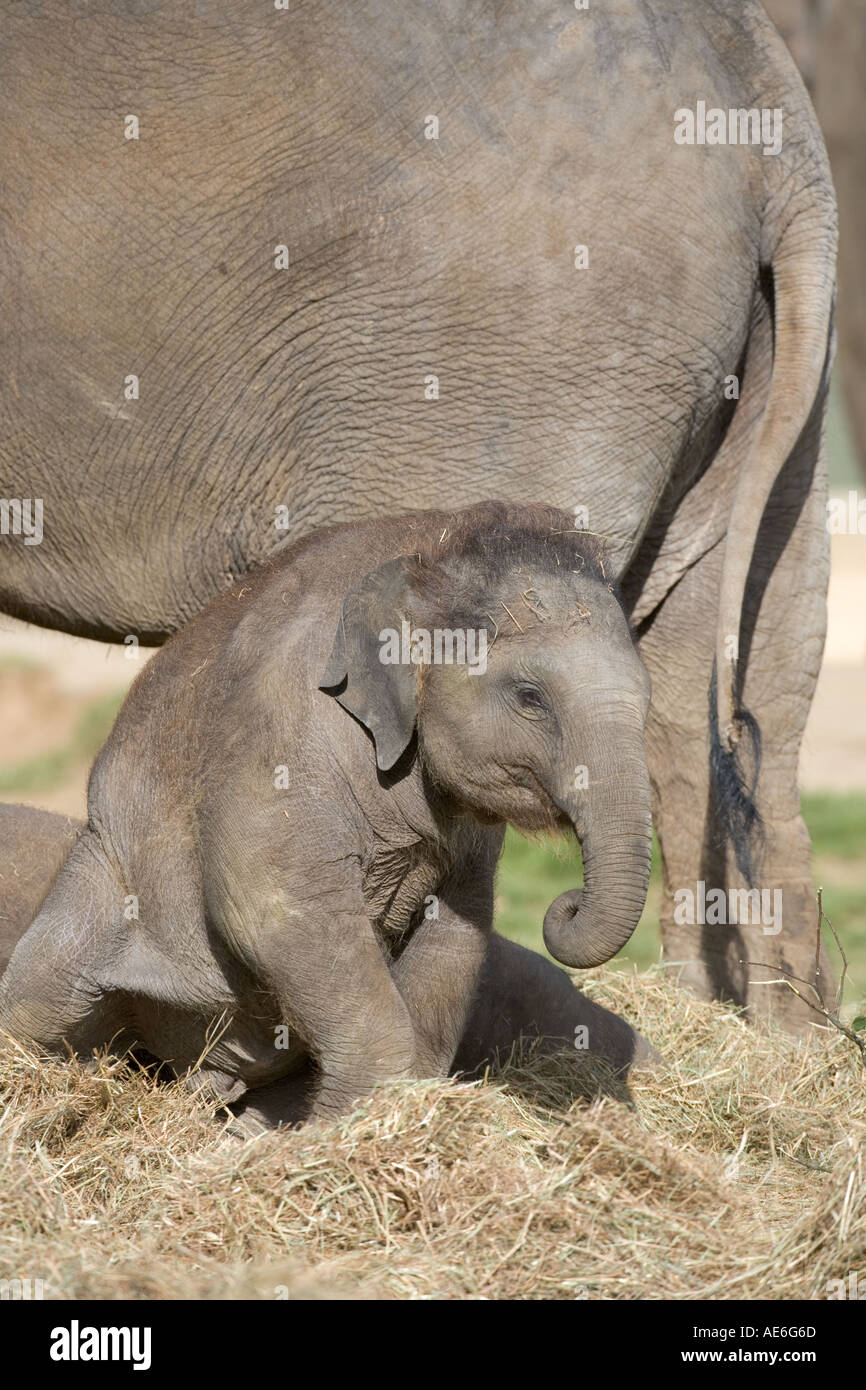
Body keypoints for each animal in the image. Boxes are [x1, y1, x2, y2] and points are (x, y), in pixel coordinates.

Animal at [0, 0, 837, 1029]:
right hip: (772, 384)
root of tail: (773, 124)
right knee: (738, 692)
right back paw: (762, 1041)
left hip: (499, 344)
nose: (561, 910)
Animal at [0, 502, 654, 1122]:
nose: (565, 905)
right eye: (529, 697)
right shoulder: (282, 723)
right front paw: (343, 1127)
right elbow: (272, 897)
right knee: (41, 997)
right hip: (102, 873)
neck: (428, 547)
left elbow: (458, 924)